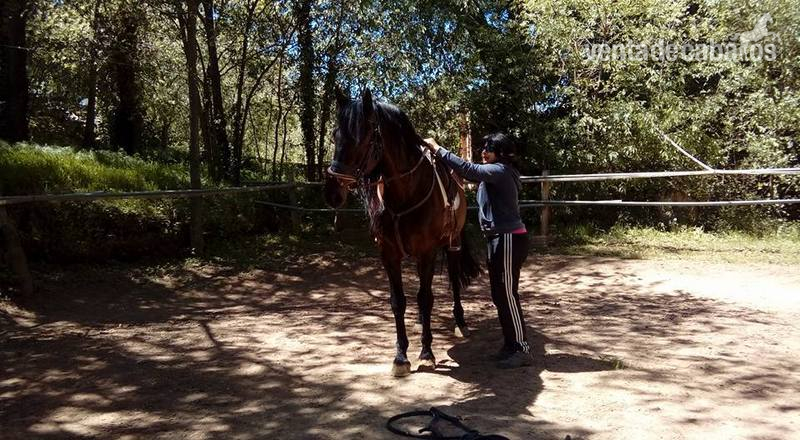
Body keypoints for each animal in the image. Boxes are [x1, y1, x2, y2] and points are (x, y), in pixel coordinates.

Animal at [324, 88, 481, 377]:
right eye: (335, 134)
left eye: (364, 137)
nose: (332, 192)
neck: (405, 195)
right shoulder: (389, 255)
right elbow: (398, 301)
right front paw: (401, 357)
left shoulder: (427, 253)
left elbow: (425, 298)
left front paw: (427, 353)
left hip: (451, 243)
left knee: (453, 281)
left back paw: (460, 321)